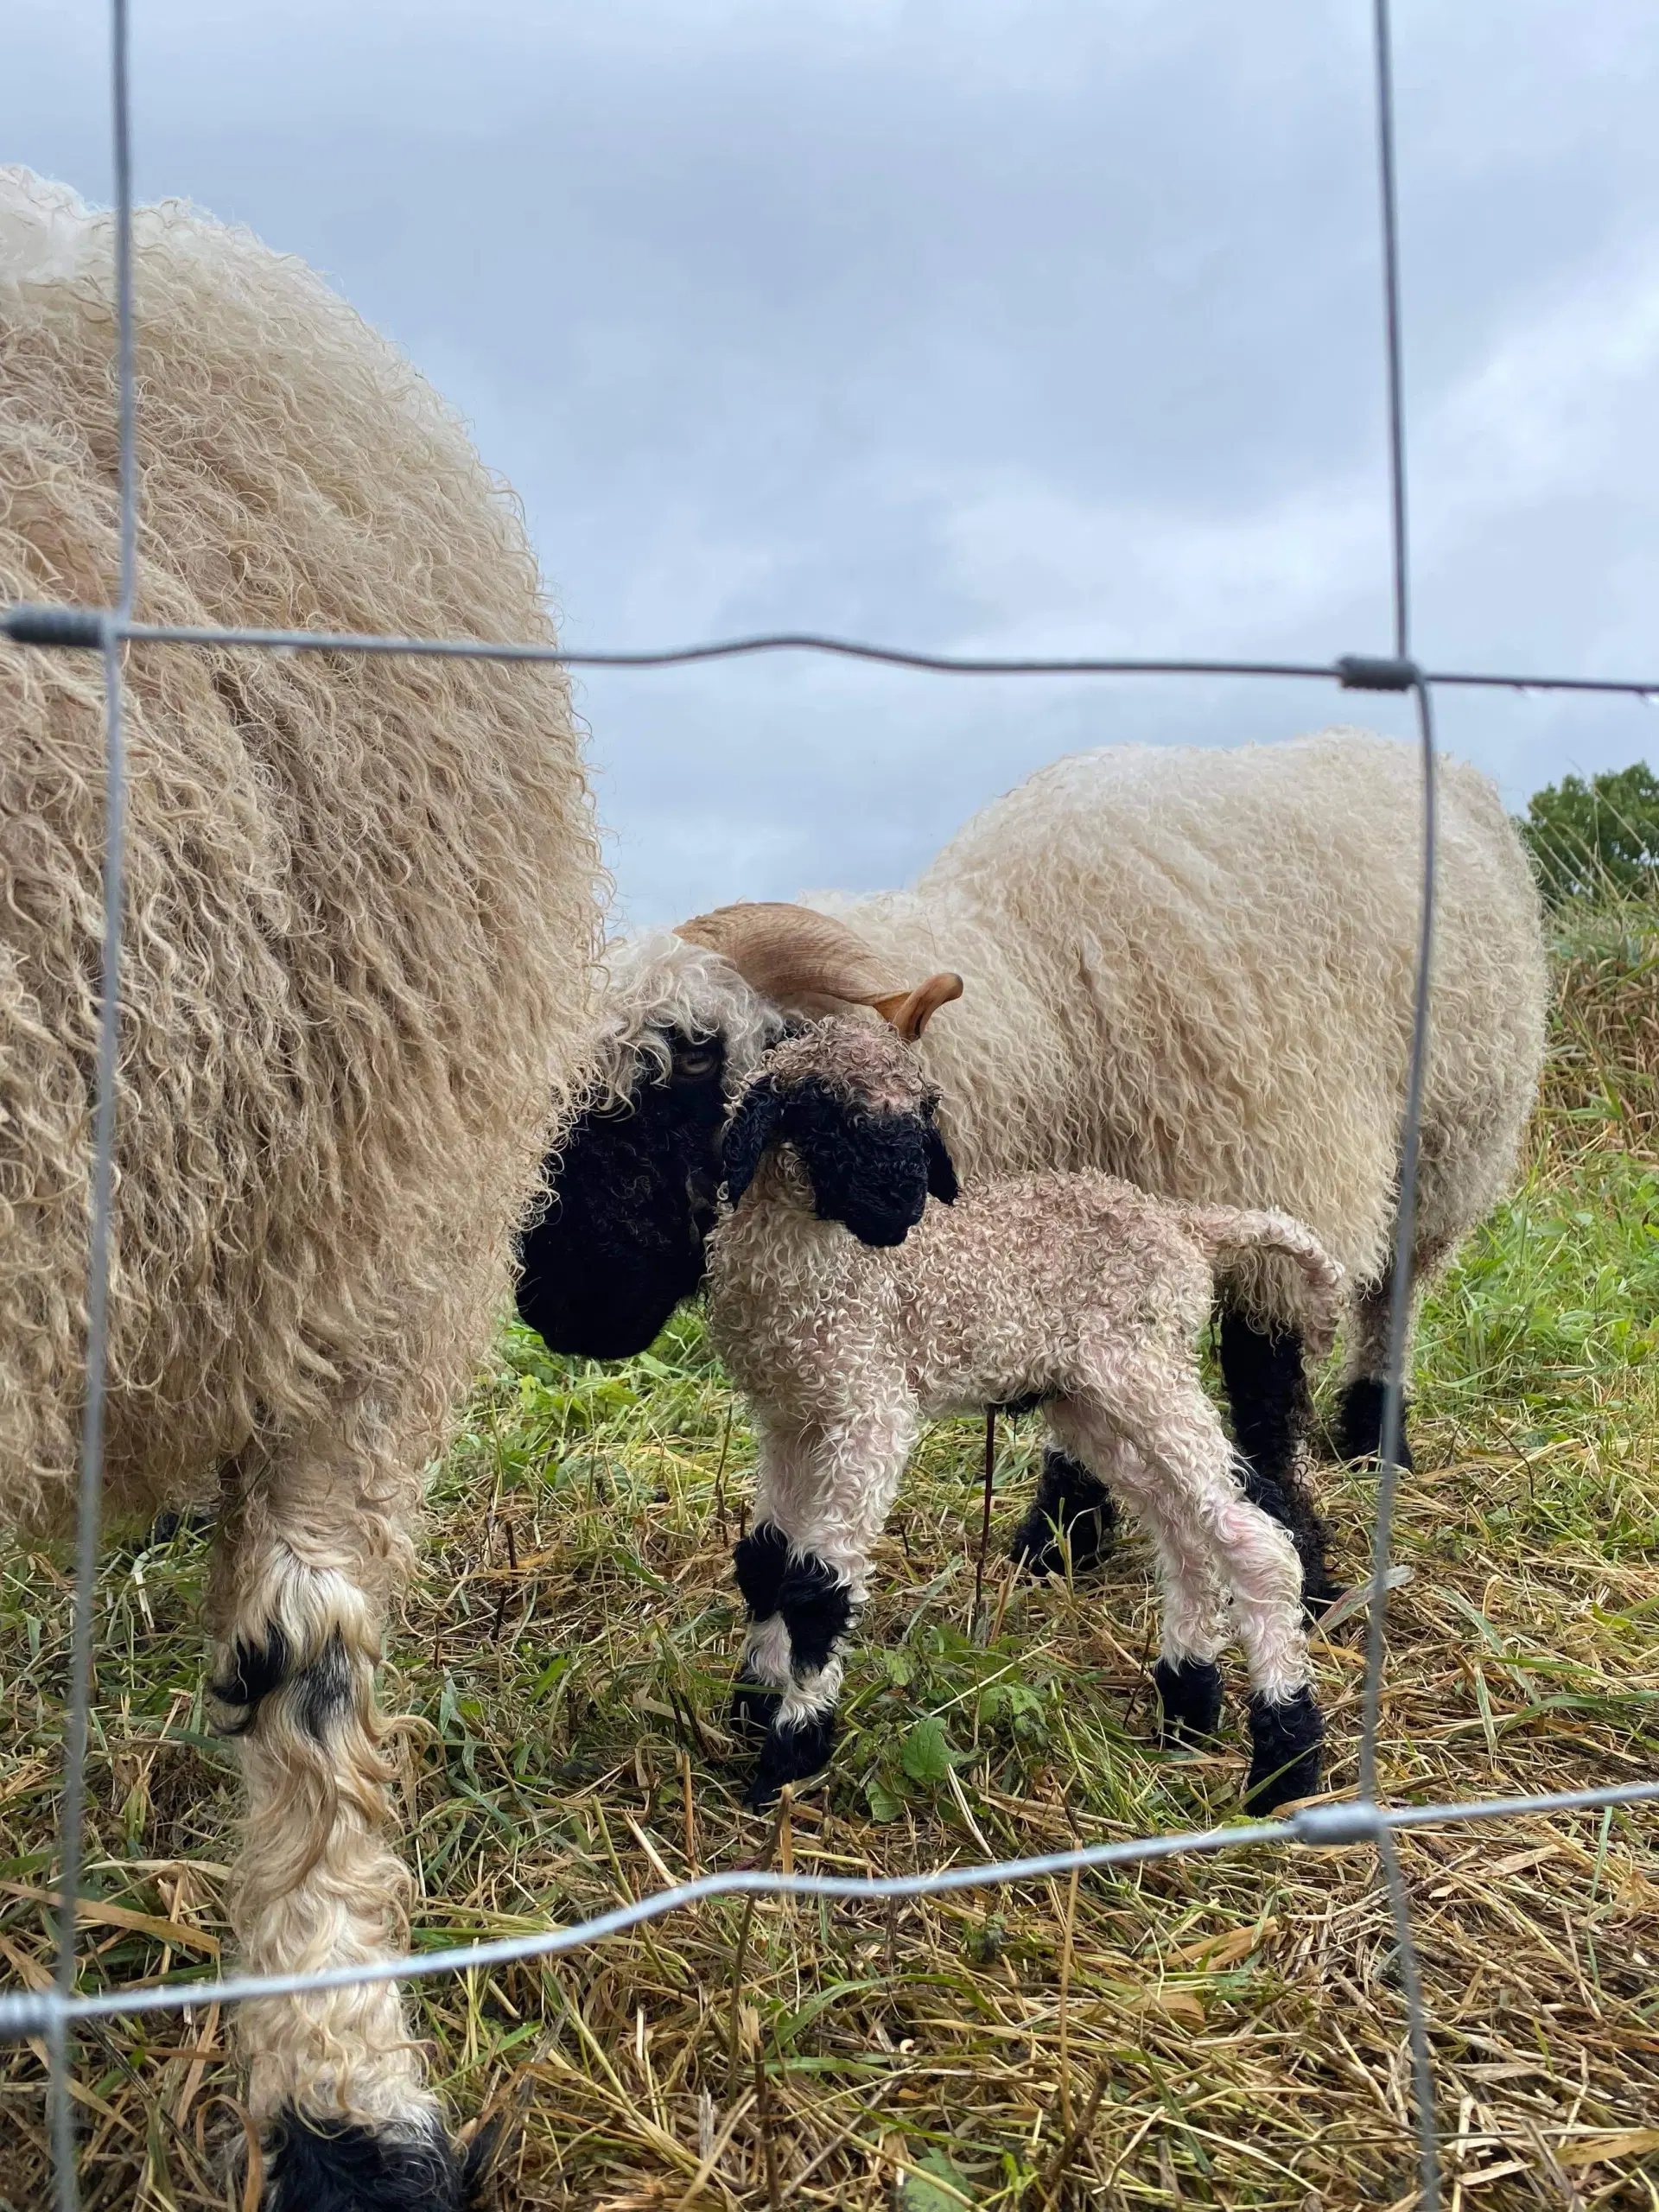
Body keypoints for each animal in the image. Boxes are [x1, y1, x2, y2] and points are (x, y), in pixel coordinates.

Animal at [526, 734, 1557, 1618]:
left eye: (694, 1059)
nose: (546, 1298)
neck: (1051, 1011)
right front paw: (1060, 1540)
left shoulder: (1275, 1165)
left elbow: (1263, 1389)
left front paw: (1302, 1557)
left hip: (1450, 1151)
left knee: (1395, 1298)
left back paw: (1376, 1435)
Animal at [708, 1013, 1344, 1822]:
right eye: (825, 1119)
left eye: (923, 1116)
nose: (903, 1205)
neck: (823, 1272)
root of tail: (1186, 1224)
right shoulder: (791, 1414)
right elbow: (764, 1563)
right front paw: (751, 1703)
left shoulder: (870, 1411)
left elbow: (817, 1591)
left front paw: (788, 1756)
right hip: (1091, 1401)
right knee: (1184, 1533)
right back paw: (1188, 1709)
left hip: (1143, 1371)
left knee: (1254, 1541)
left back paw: (1284, 1761)